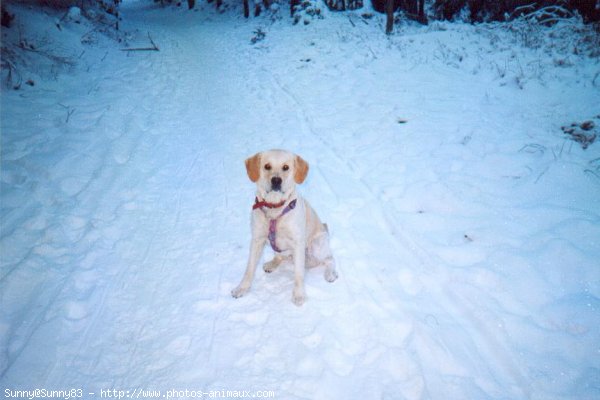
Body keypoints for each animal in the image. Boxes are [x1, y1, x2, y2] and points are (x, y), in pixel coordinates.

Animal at [232, 150, 340, 306]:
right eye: (267, 166)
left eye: (285, 167)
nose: (276, 180)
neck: (275, 208)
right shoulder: (257, 239)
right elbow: (249, 269)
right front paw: (241, 288)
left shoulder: (298, 242)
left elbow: (299, 275)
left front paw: (299, 295)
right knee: (279, 256)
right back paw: (271, 264)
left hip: (317, 244)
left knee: (330, 259)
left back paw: (330, 273)